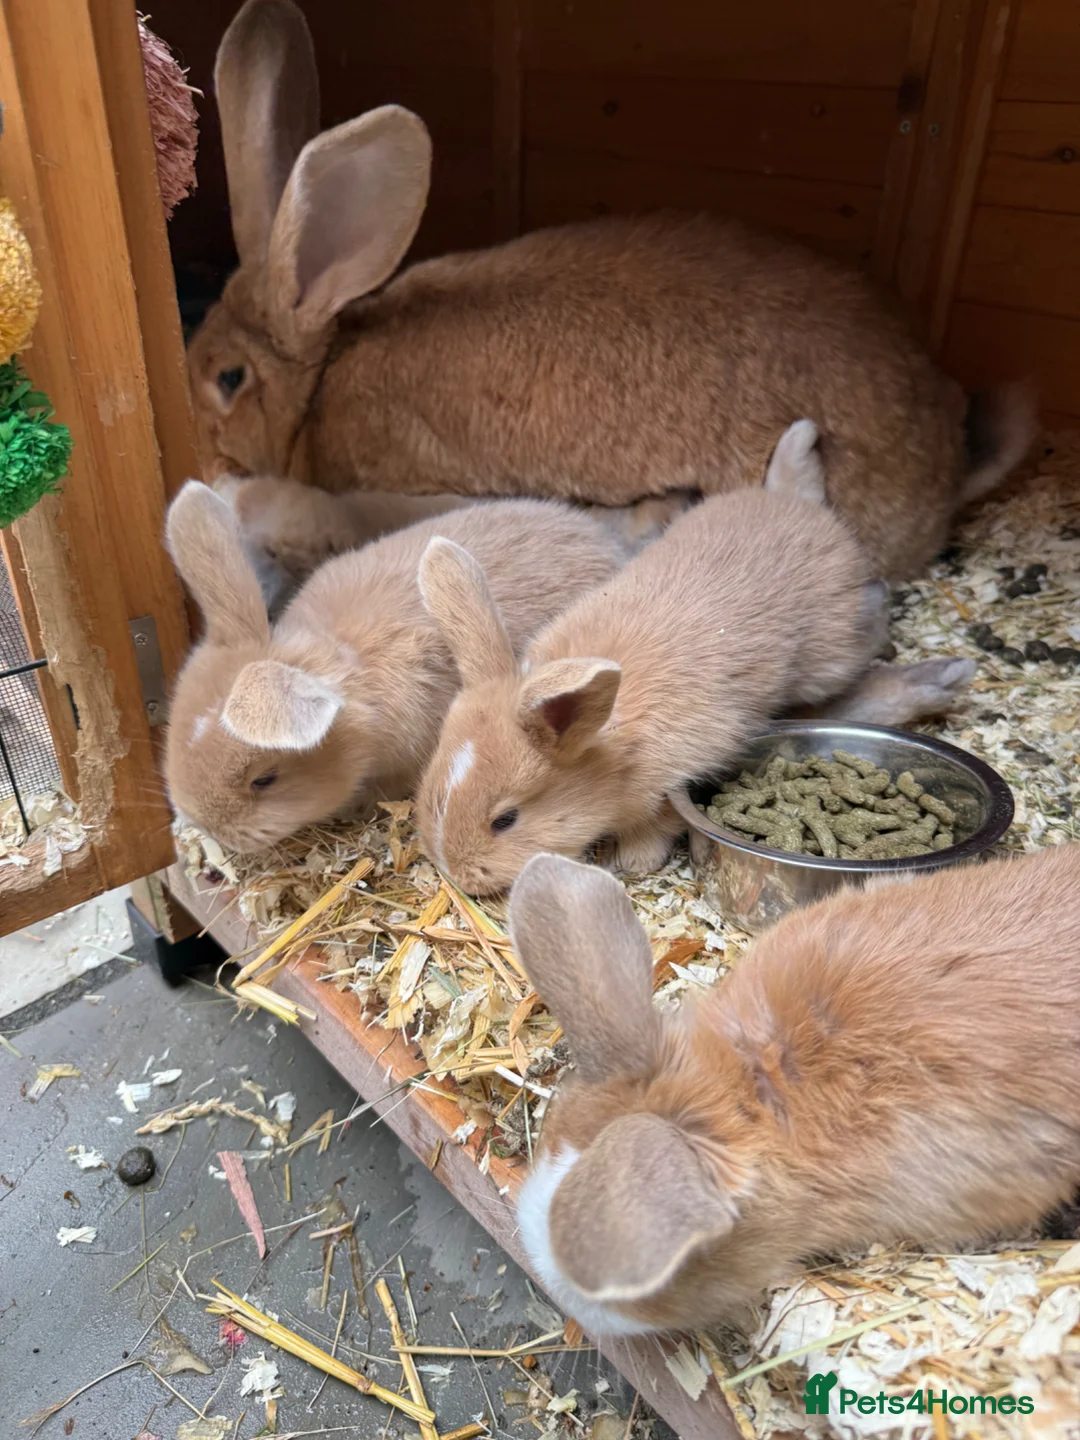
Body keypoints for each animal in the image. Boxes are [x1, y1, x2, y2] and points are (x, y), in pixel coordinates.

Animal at [414, 469, 974, 895]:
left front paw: (636, 861)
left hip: (831, 657)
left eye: (505, 820)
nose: (459, 874)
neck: (608, 748)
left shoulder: (675, 780)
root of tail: (793, 500)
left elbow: (659, 825)